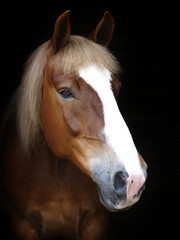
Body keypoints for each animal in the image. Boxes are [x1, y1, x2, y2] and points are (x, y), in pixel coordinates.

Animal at [0, 10, 147, 240]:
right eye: (65, 92)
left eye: (116, 86)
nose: (133, 179)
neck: (57, 175)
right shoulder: (23, 225)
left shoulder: (95, 224)